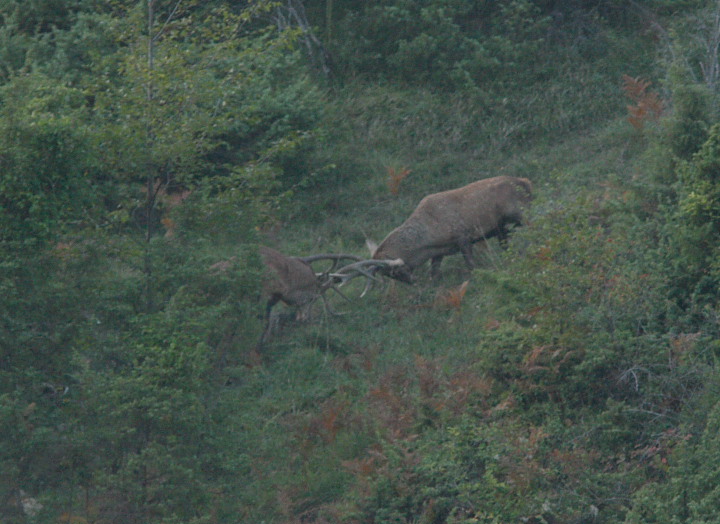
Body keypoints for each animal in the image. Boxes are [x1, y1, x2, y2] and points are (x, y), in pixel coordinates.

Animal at [368, 175, 533, 283]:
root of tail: (526, 183)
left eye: (394, 270)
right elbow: (434, 273)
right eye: (388, 274)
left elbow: (470, 264)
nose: (412, 281)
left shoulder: (463, 236)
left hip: (520, 213)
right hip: (503, 227)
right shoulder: (438, 253)